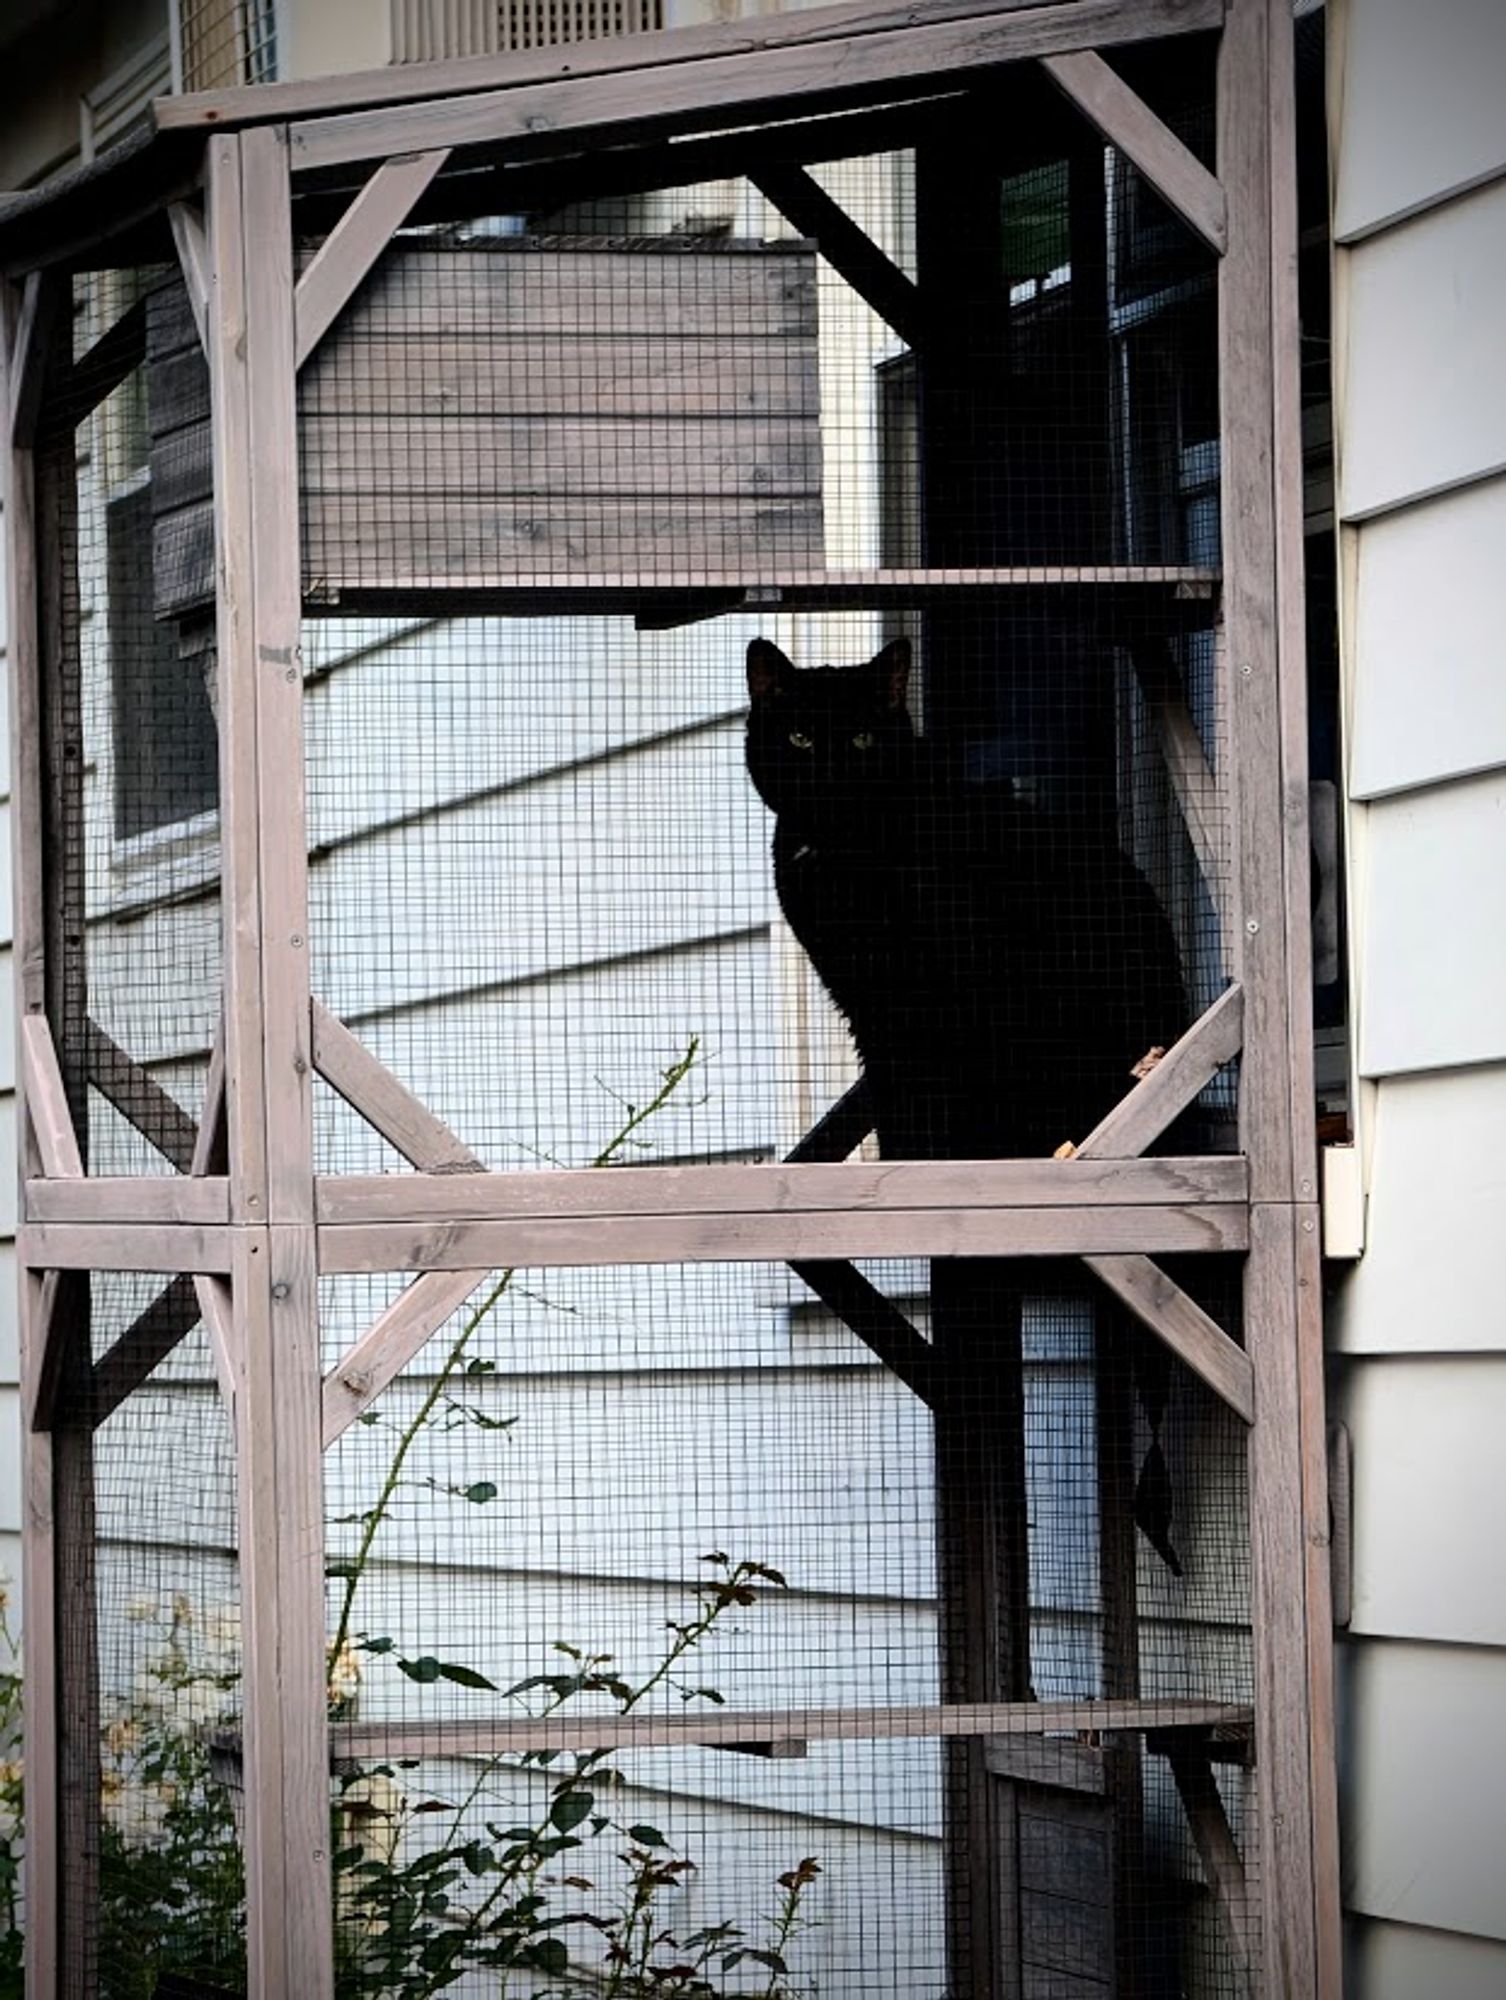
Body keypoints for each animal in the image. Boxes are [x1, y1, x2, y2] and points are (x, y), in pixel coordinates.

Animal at [744, 624, 1184, 1160]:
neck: (841, 855)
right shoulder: (866, 1003)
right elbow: (892, 1096)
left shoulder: (939, 991)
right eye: (800, 738)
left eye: (863, 739)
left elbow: (924, 1101)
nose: (831, 779)